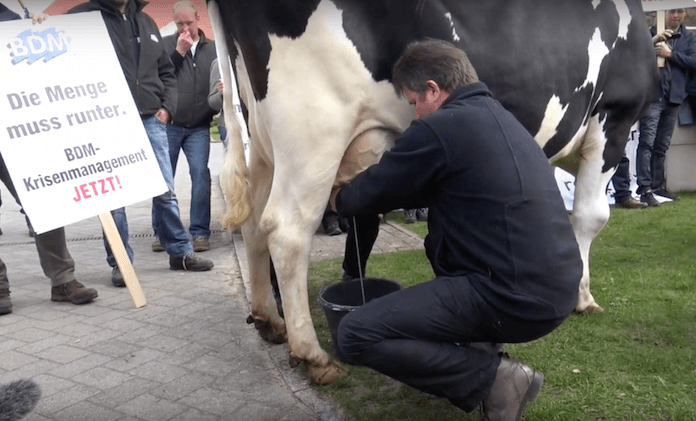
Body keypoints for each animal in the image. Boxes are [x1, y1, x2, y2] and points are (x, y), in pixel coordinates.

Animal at [207, 0, 656, 380]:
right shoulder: (614, 115)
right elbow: (591, 216)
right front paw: (583, 296)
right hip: (314, 131)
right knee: (287, 230)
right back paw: (312, 355)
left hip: (263, 138)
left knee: (253, 222)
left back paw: (269, 320)